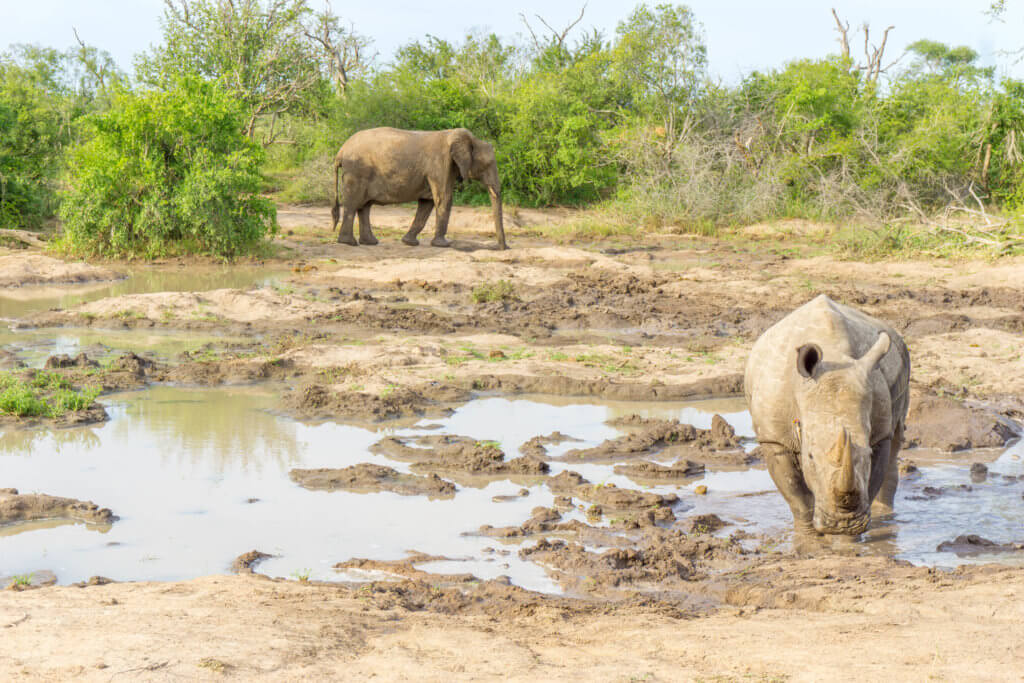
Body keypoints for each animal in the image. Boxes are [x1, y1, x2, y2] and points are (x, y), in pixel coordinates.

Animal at [329, 126, 505, 249]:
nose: (503, 247)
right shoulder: (440, 164)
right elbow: (444, 198)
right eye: (487, 165)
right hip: (357, 172)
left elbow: (427, 203)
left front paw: (409, 242)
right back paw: (349, 243)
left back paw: (370, 242)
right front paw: (443, 245)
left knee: (364, 206)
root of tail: (340, 151)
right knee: (354, 204)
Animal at [745, 296, 913, 536]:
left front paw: (847, 537)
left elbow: (870, 482)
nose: (843, 524)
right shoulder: (774, 438)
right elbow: (798, 499)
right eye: (810, 457)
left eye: (869, 453)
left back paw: (887, 517)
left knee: (896, 438)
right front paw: (809, 539)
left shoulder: (880, 434)